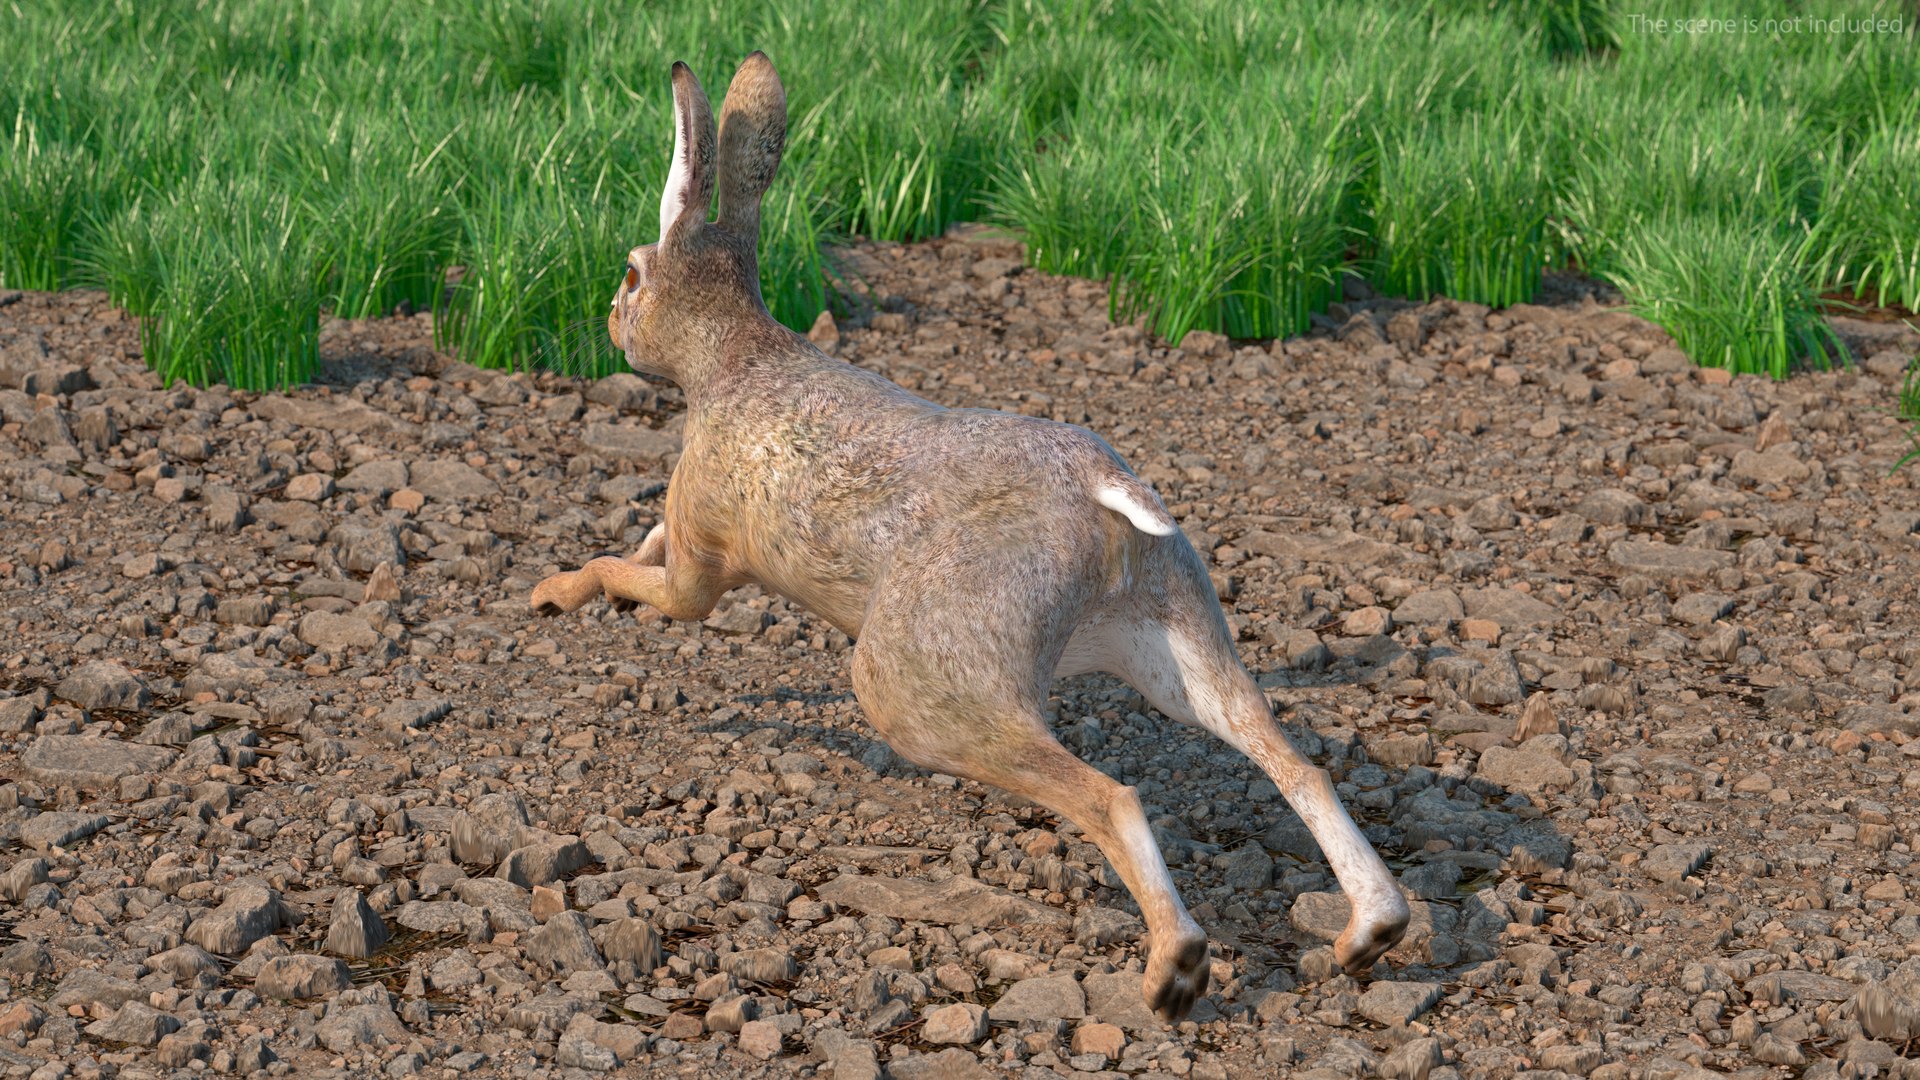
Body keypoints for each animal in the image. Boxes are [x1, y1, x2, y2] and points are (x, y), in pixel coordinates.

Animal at [530, 52, 1409, 1022]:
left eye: (631, 272)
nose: (612, 319)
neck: (728, 359)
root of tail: (1100, 495)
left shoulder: (704, 559)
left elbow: (646, 579)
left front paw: (560, 594)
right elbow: (643, 542)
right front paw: (562, 593)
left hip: (924, 675)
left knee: (1108, 797)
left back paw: (1173, 975)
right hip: (1170, 634)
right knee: (1290, 761)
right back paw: (1370, 934)